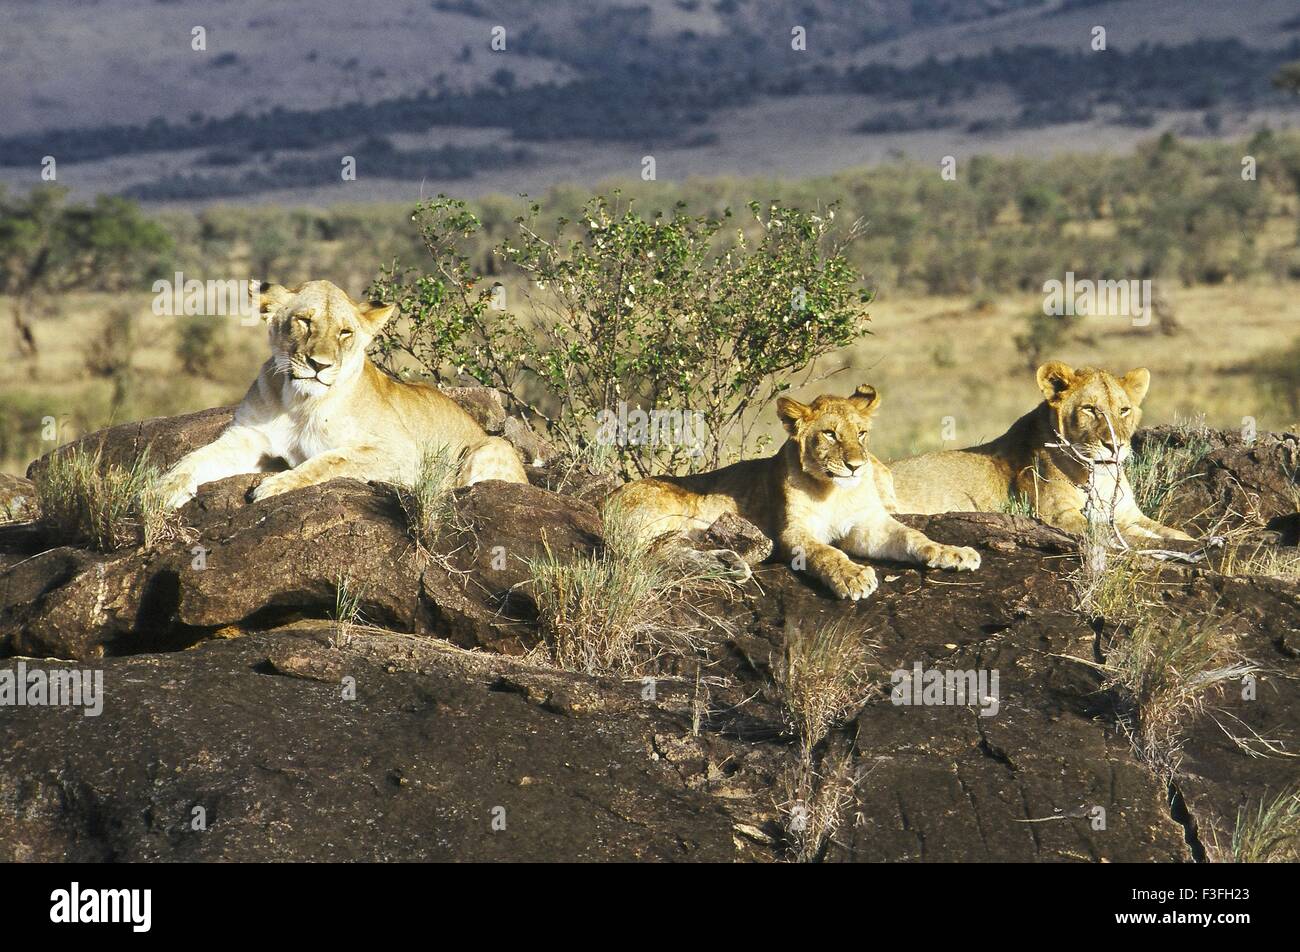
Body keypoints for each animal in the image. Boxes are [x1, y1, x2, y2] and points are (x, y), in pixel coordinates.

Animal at [158, 280, 528, 509]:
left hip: (490, 447)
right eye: (304, 321)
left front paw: (276, 485)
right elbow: (193, 459)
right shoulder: (246, 439)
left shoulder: (402, 454)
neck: (299, 403)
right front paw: (160, 492)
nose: (318, 365)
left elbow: (330, 460)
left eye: (345, 332)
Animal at [603, 384, 981, 601]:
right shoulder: (792, 533)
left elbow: (914, 537)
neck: (835, 490)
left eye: (861, 433)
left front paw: (955, 553)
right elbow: (825, 553)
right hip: (670, 517)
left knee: (670, 553)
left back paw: (729, 564)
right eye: (830, 434)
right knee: (651, 557)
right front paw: (853, 577)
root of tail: (608, 498)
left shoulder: (868, 524)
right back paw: (731, 565)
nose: (857, 466)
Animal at [888, 361, 1194, 544]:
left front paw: (1194, 542)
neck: (1100, 475)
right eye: (1090, 409)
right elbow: (1128, 537)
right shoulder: (1059, 517)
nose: (1115, 445)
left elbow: (1172, 532)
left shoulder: (1131, 515)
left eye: (1124, 410)